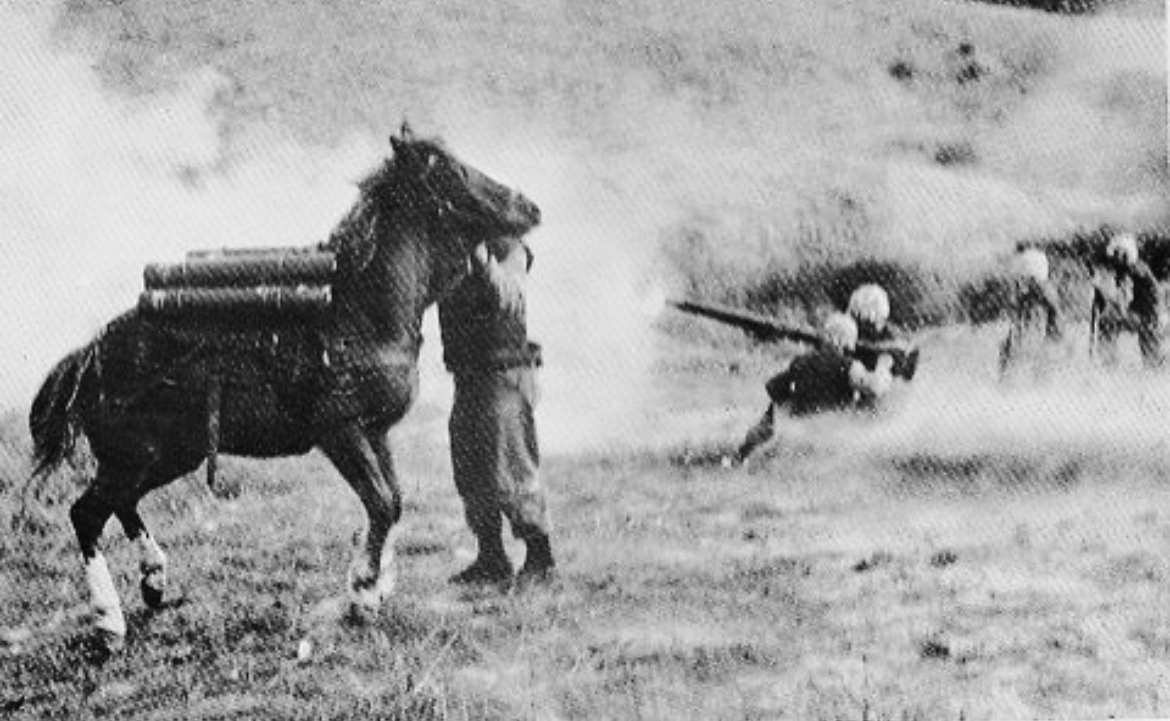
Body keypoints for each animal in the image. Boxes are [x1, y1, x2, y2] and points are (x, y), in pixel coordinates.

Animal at [28, 123, 541, 653]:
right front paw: (362, 594)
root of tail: (89, 356)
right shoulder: (342, 433)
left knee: (121, 504)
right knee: (87, 513)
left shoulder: (376, 433)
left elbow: (394, 501)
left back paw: (154, 581)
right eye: (452, 170)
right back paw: (109, 622)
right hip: (137, 456)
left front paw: (376, 588)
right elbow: (381, 502)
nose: (530, 207)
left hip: (166, 456)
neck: (360, 313)